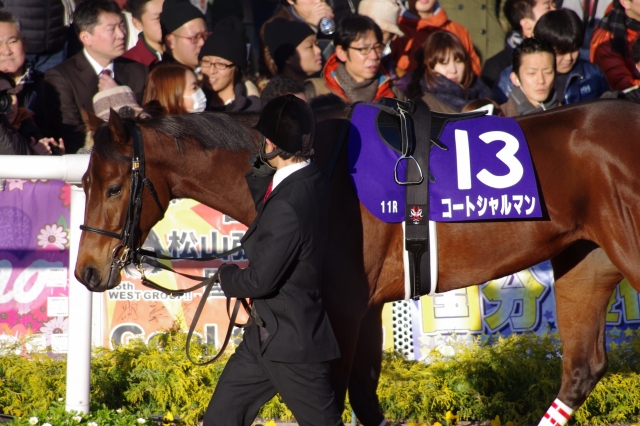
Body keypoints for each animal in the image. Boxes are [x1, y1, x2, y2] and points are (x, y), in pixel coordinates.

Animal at [75, 98, 632, 424]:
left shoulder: (342, 308)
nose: (87, 271)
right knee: (582, 369)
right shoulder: (366, 308)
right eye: (83, 183)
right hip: (586, 261)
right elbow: (364, 396)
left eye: (114, 186)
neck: (324, 170)